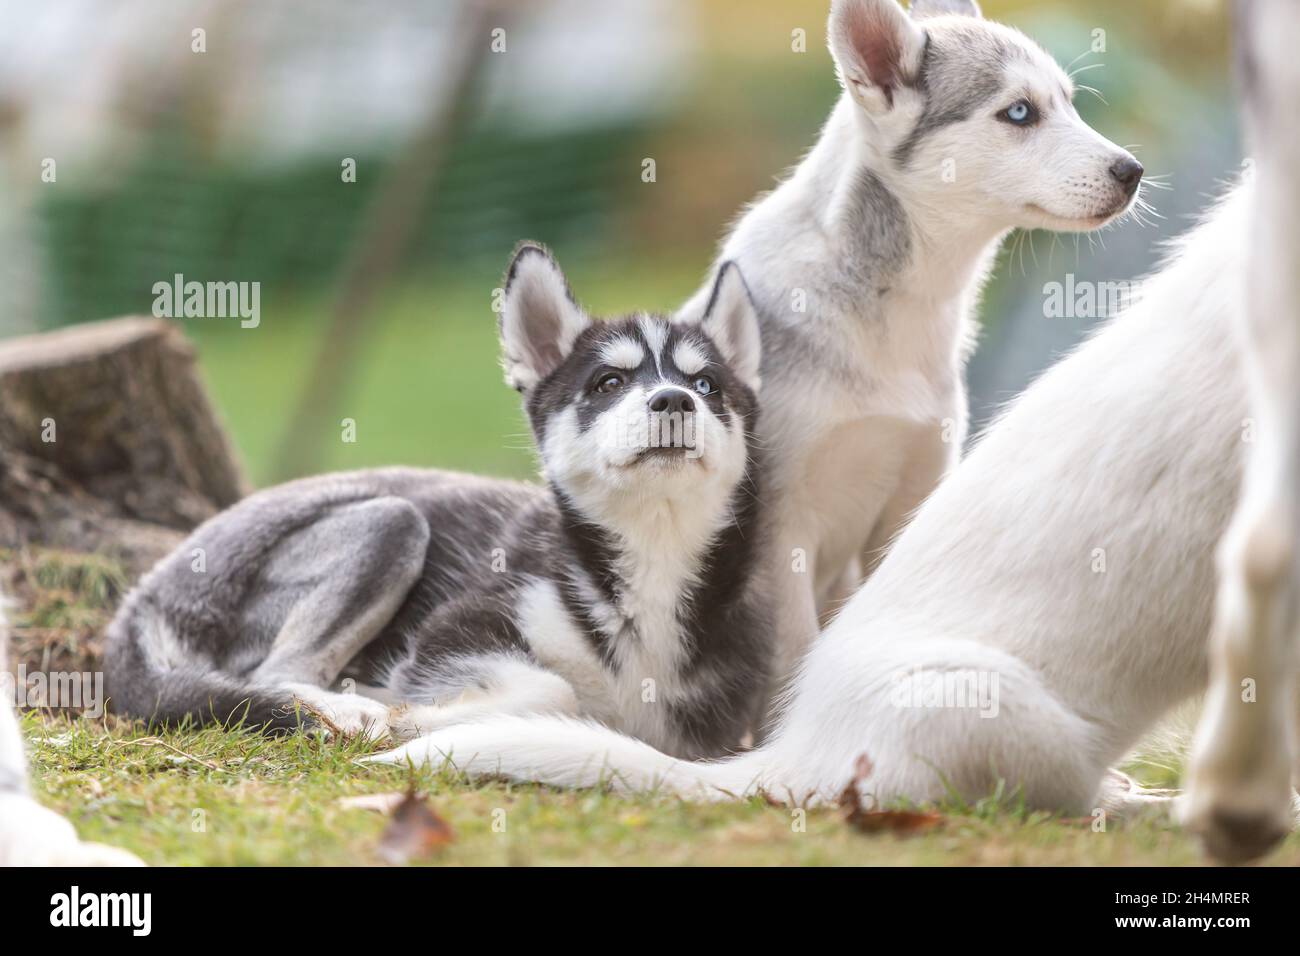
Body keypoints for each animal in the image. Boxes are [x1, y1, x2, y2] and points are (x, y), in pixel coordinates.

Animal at [106, 247, 769, 764]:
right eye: (609, 383)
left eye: (707, 386)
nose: (674, 401)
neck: (649, 560)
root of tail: (139, 606)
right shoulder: (457, 630)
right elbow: (553, 692)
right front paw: (408, 716)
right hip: (391, 523)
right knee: (275, 676)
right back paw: (344, 708)